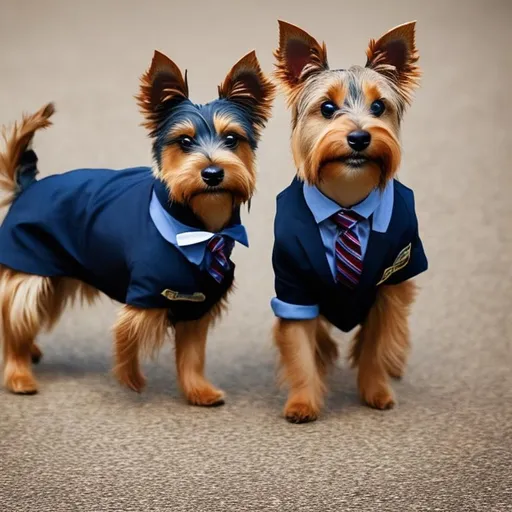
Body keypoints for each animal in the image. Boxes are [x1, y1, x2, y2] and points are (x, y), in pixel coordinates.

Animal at [0, 49, 276, 404]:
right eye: (184, 142)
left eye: (232, 139)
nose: (213, 173)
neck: (197, 228)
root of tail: (27, 188)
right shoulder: (149, 293)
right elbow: (127, 336)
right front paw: (132, 379)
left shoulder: (198, 305)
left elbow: (192, 356)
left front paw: (198, 391)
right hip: (30, 272)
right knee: (15, 322)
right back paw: (18, 375)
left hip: (53, 277)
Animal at [272, 20, 428, 422]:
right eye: (327, 108)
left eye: (379, 106)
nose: (359, 136)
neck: (346, 200)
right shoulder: (293, 285)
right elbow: (299, 347)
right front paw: (303, 402)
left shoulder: (391, 288)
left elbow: (377, 344)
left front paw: (376, 392)